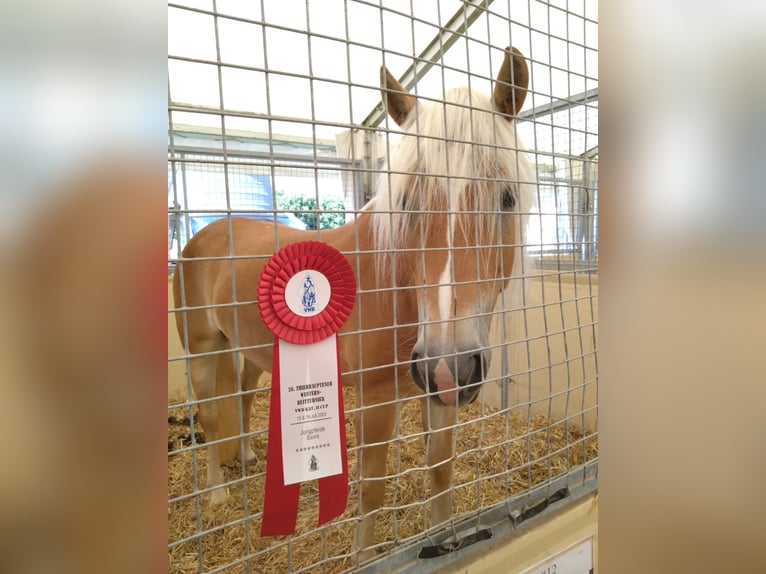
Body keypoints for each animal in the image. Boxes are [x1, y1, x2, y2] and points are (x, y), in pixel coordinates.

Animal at [172, 46, 536, 564]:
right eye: (405, 202)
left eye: (506, 197)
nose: (448, 364)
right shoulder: (376, 400)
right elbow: (371, 489)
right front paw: (366, 558)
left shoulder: (439, 394)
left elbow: (440, 470)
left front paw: (443, 540)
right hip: (202, 351)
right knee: (208, 415)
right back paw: (220, 493)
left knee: (242, 393)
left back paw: (247, 455)